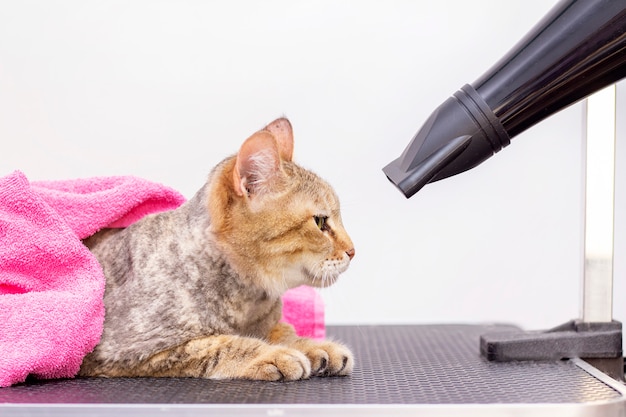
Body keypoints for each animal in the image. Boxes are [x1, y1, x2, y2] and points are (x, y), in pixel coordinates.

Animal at [77, 118, 356, 380]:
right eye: (320, 222)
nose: (353, 251)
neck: (250, 302)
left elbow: (283, 331)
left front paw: (315, 346)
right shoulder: (127, 352)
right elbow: (220, 344)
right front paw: (273, 354)